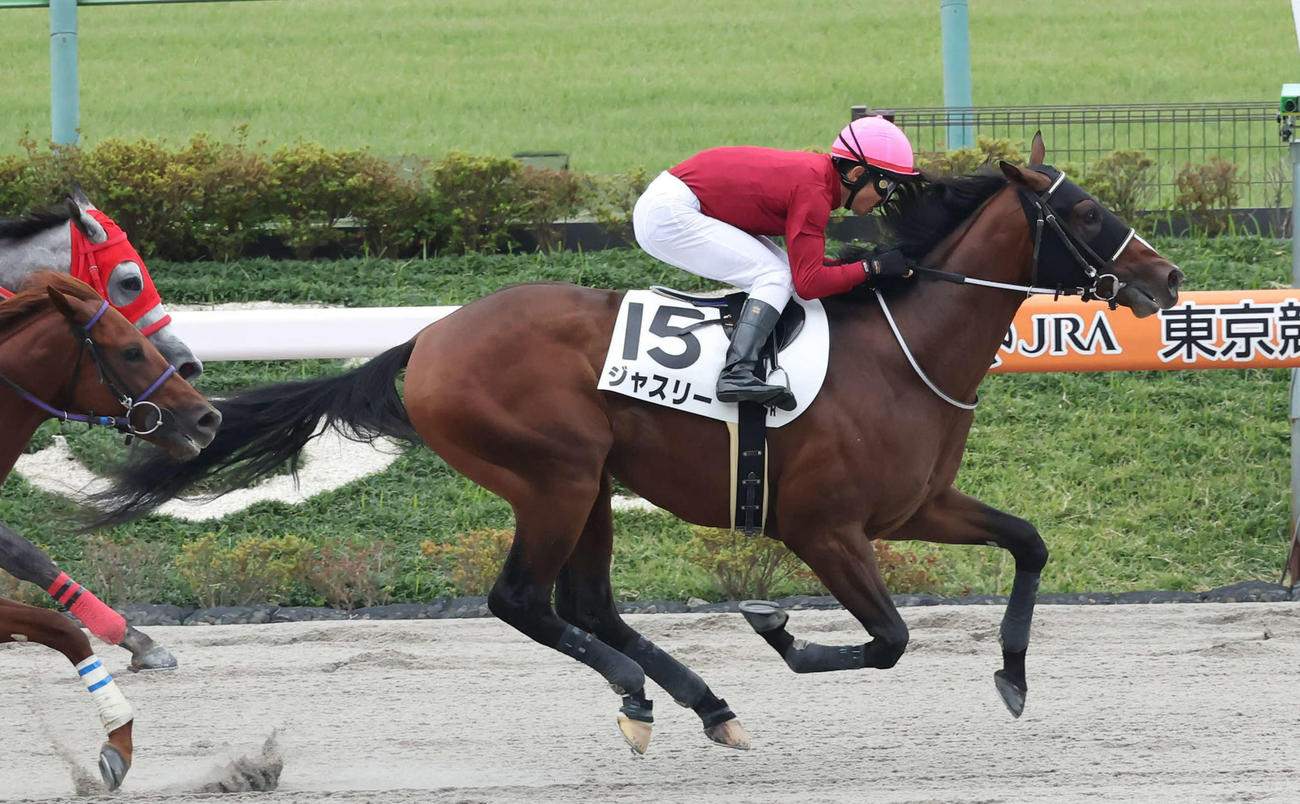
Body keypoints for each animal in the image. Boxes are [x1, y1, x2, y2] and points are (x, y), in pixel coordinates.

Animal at [94, 136, 1182, 753]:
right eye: (1086, 212)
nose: (1166, 278)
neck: (900, 350)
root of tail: (427, 338)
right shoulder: (825, 529)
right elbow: (887, 639)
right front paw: (777, 630)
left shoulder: (914, 508)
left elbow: (1029, 543)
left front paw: (1013, 677)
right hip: (554, 477)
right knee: (522, 602)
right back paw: (648, 697)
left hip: (590, 486)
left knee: (585, 606)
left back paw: (701, 704)